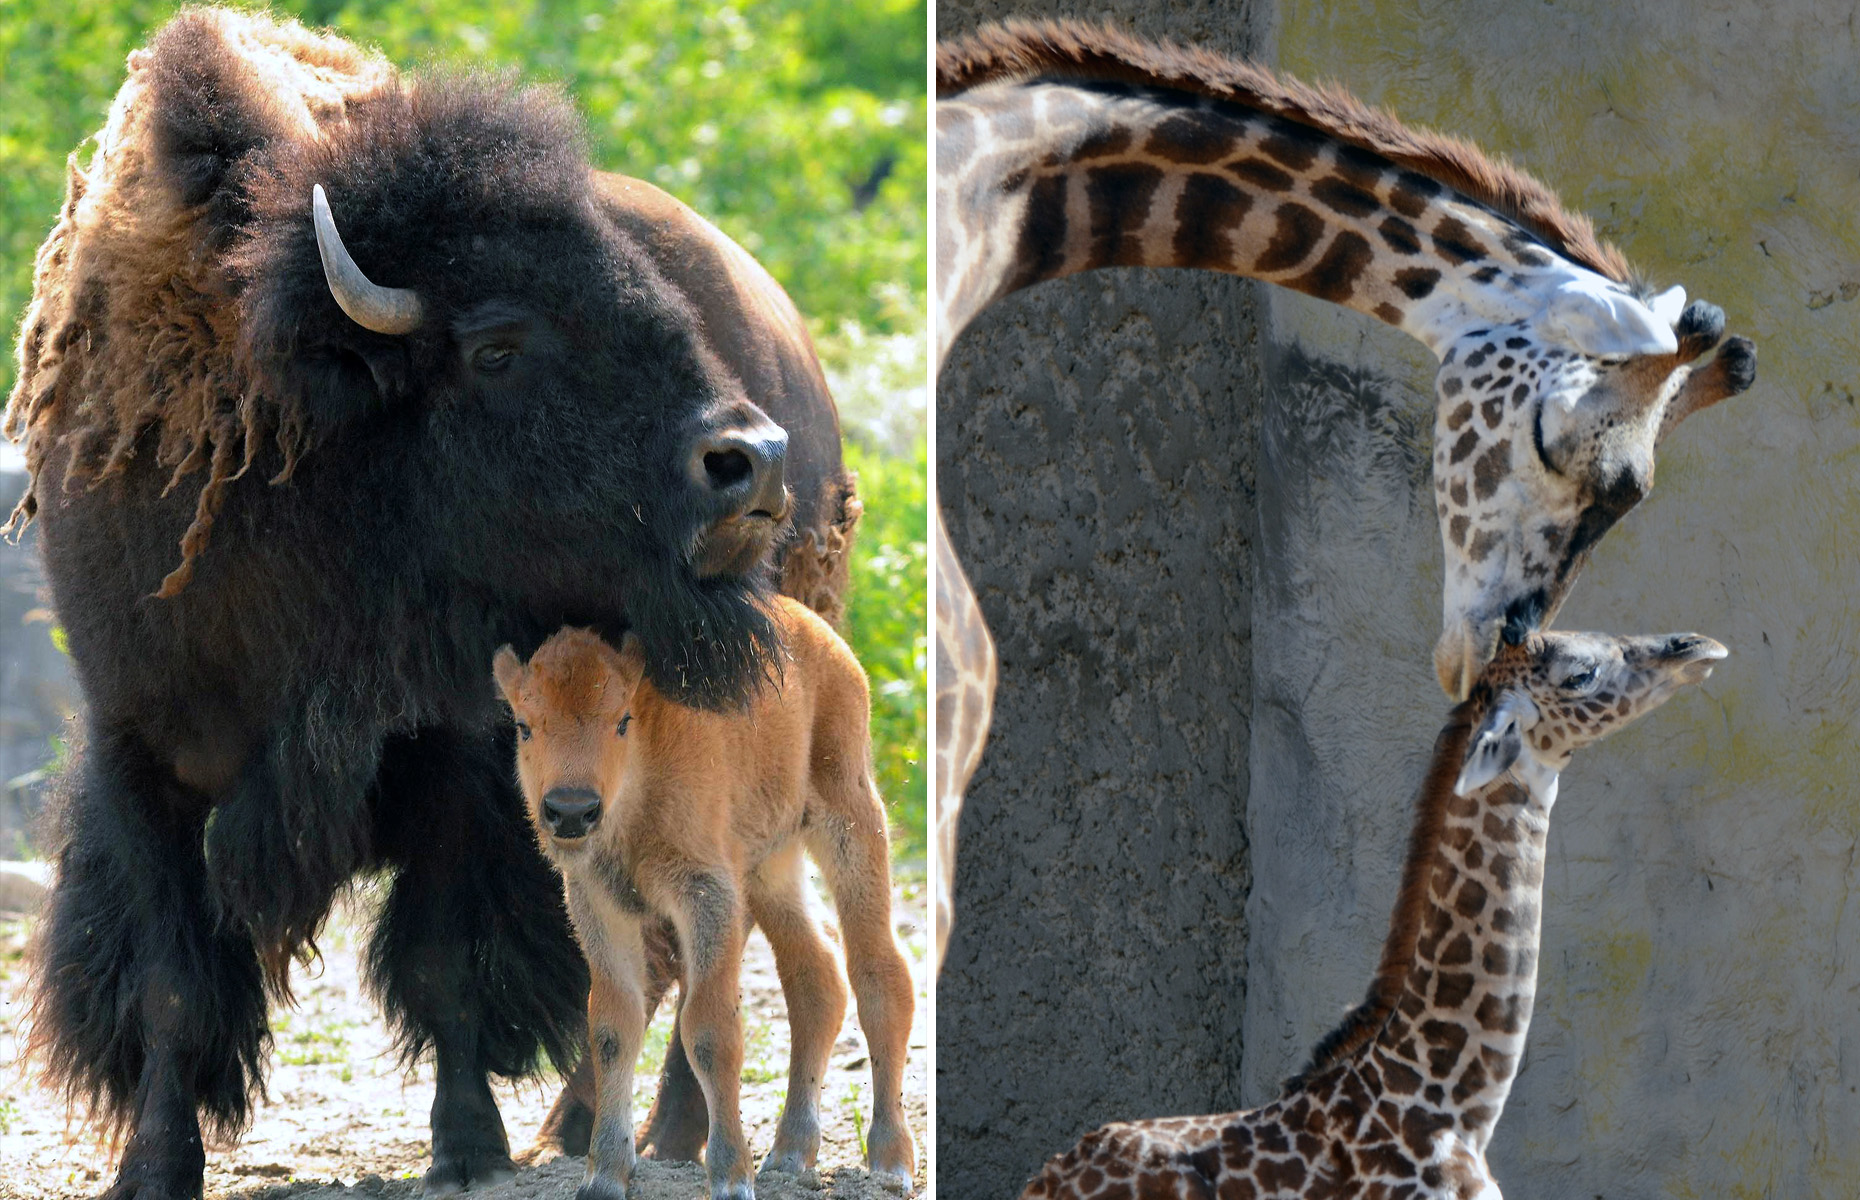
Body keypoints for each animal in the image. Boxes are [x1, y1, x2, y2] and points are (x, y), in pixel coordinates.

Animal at [9, 11, 863, 1198]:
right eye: (497, 345)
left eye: (648, 298)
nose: (751, 463)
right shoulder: (144, 751)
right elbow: (174, 985)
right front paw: (154, 1168)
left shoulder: (467, 751)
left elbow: (448, 961)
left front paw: (466, 1150)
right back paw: (595, 1132)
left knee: (692, 941)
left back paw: (661, 1135)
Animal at [494, 595, 915, 1198]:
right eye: (524, 726)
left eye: (621, 721)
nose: (571, 810)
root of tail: (821, 635)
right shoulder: (600, 905)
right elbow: (612, 1030)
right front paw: (603, 1176)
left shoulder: (705, 897)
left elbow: (711, 1030)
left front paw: (732, 1177)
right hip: (769, 870)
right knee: (816, 980)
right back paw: (790, 1154)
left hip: (849, 820)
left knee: (879, 971)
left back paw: (889, 1161)